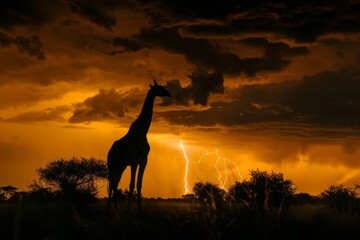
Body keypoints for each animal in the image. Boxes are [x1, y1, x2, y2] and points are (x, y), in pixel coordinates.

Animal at [106, 80, 171, 210]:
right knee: (111, 184)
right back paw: (108, 208)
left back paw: (115, 207)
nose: (169, 93)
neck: (142, 131)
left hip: (121, 166)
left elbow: (139, 184)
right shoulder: (134, 161)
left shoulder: (143, 160)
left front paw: (139, 208)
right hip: (112, 165)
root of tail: (109, 152)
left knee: (115, 184)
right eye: (160, 88)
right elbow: (131, 184)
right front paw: (129, 209)